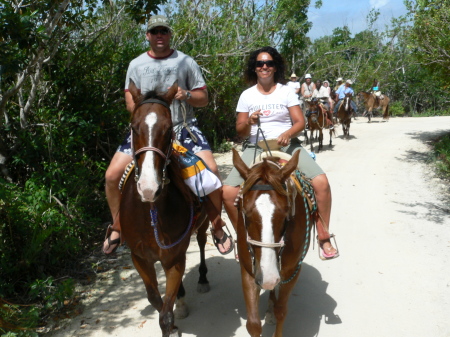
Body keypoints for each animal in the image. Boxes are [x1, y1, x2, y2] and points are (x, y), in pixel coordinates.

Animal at [119, 80, 211, 334]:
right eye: (133, 127)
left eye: (169, 128)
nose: (149, 187)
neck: (151, 214)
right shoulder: (140, 258)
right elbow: (156, 301)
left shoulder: (175, 257)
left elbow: (165, 316)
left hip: (203, 225)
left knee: (202, 242)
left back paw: (202, 279)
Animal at [230, 148, 312, 334]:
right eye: (245, 214)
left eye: (286, 213)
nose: (268, 277)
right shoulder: (248, 270)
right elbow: (253, 324)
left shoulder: (292, 271)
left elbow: (281, 311)